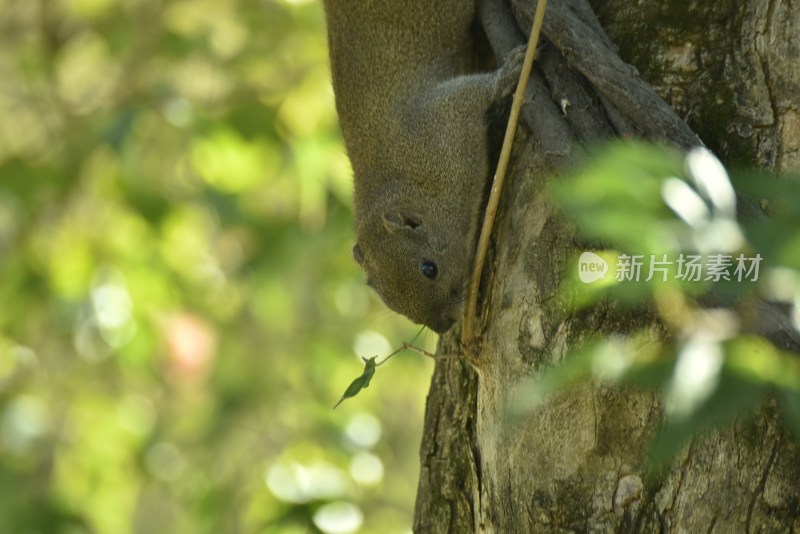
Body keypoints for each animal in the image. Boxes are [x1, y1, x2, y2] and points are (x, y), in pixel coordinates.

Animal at [322, 0, 520, 336]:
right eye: (390, 302)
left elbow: (478, 91)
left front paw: (509, 73)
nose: (442, 327)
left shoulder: (442, 119)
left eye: (430, 269)